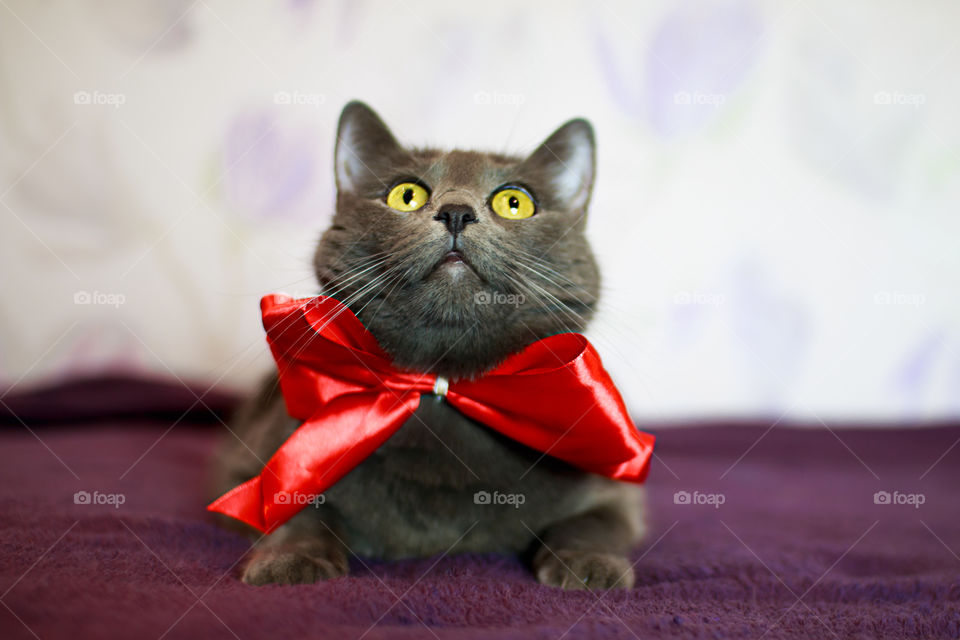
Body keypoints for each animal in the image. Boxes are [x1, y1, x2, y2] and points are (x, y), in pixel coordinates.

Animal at [210, 101, 644, 592]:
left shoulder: (611, 484)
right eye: (406, 195)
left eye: (515, 202)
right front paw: (290, 562)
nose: (456, 212)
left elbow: (597, 521)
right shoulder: (259, 460)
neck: (443, 378)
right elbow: (291, 510)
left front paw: (591, 566)